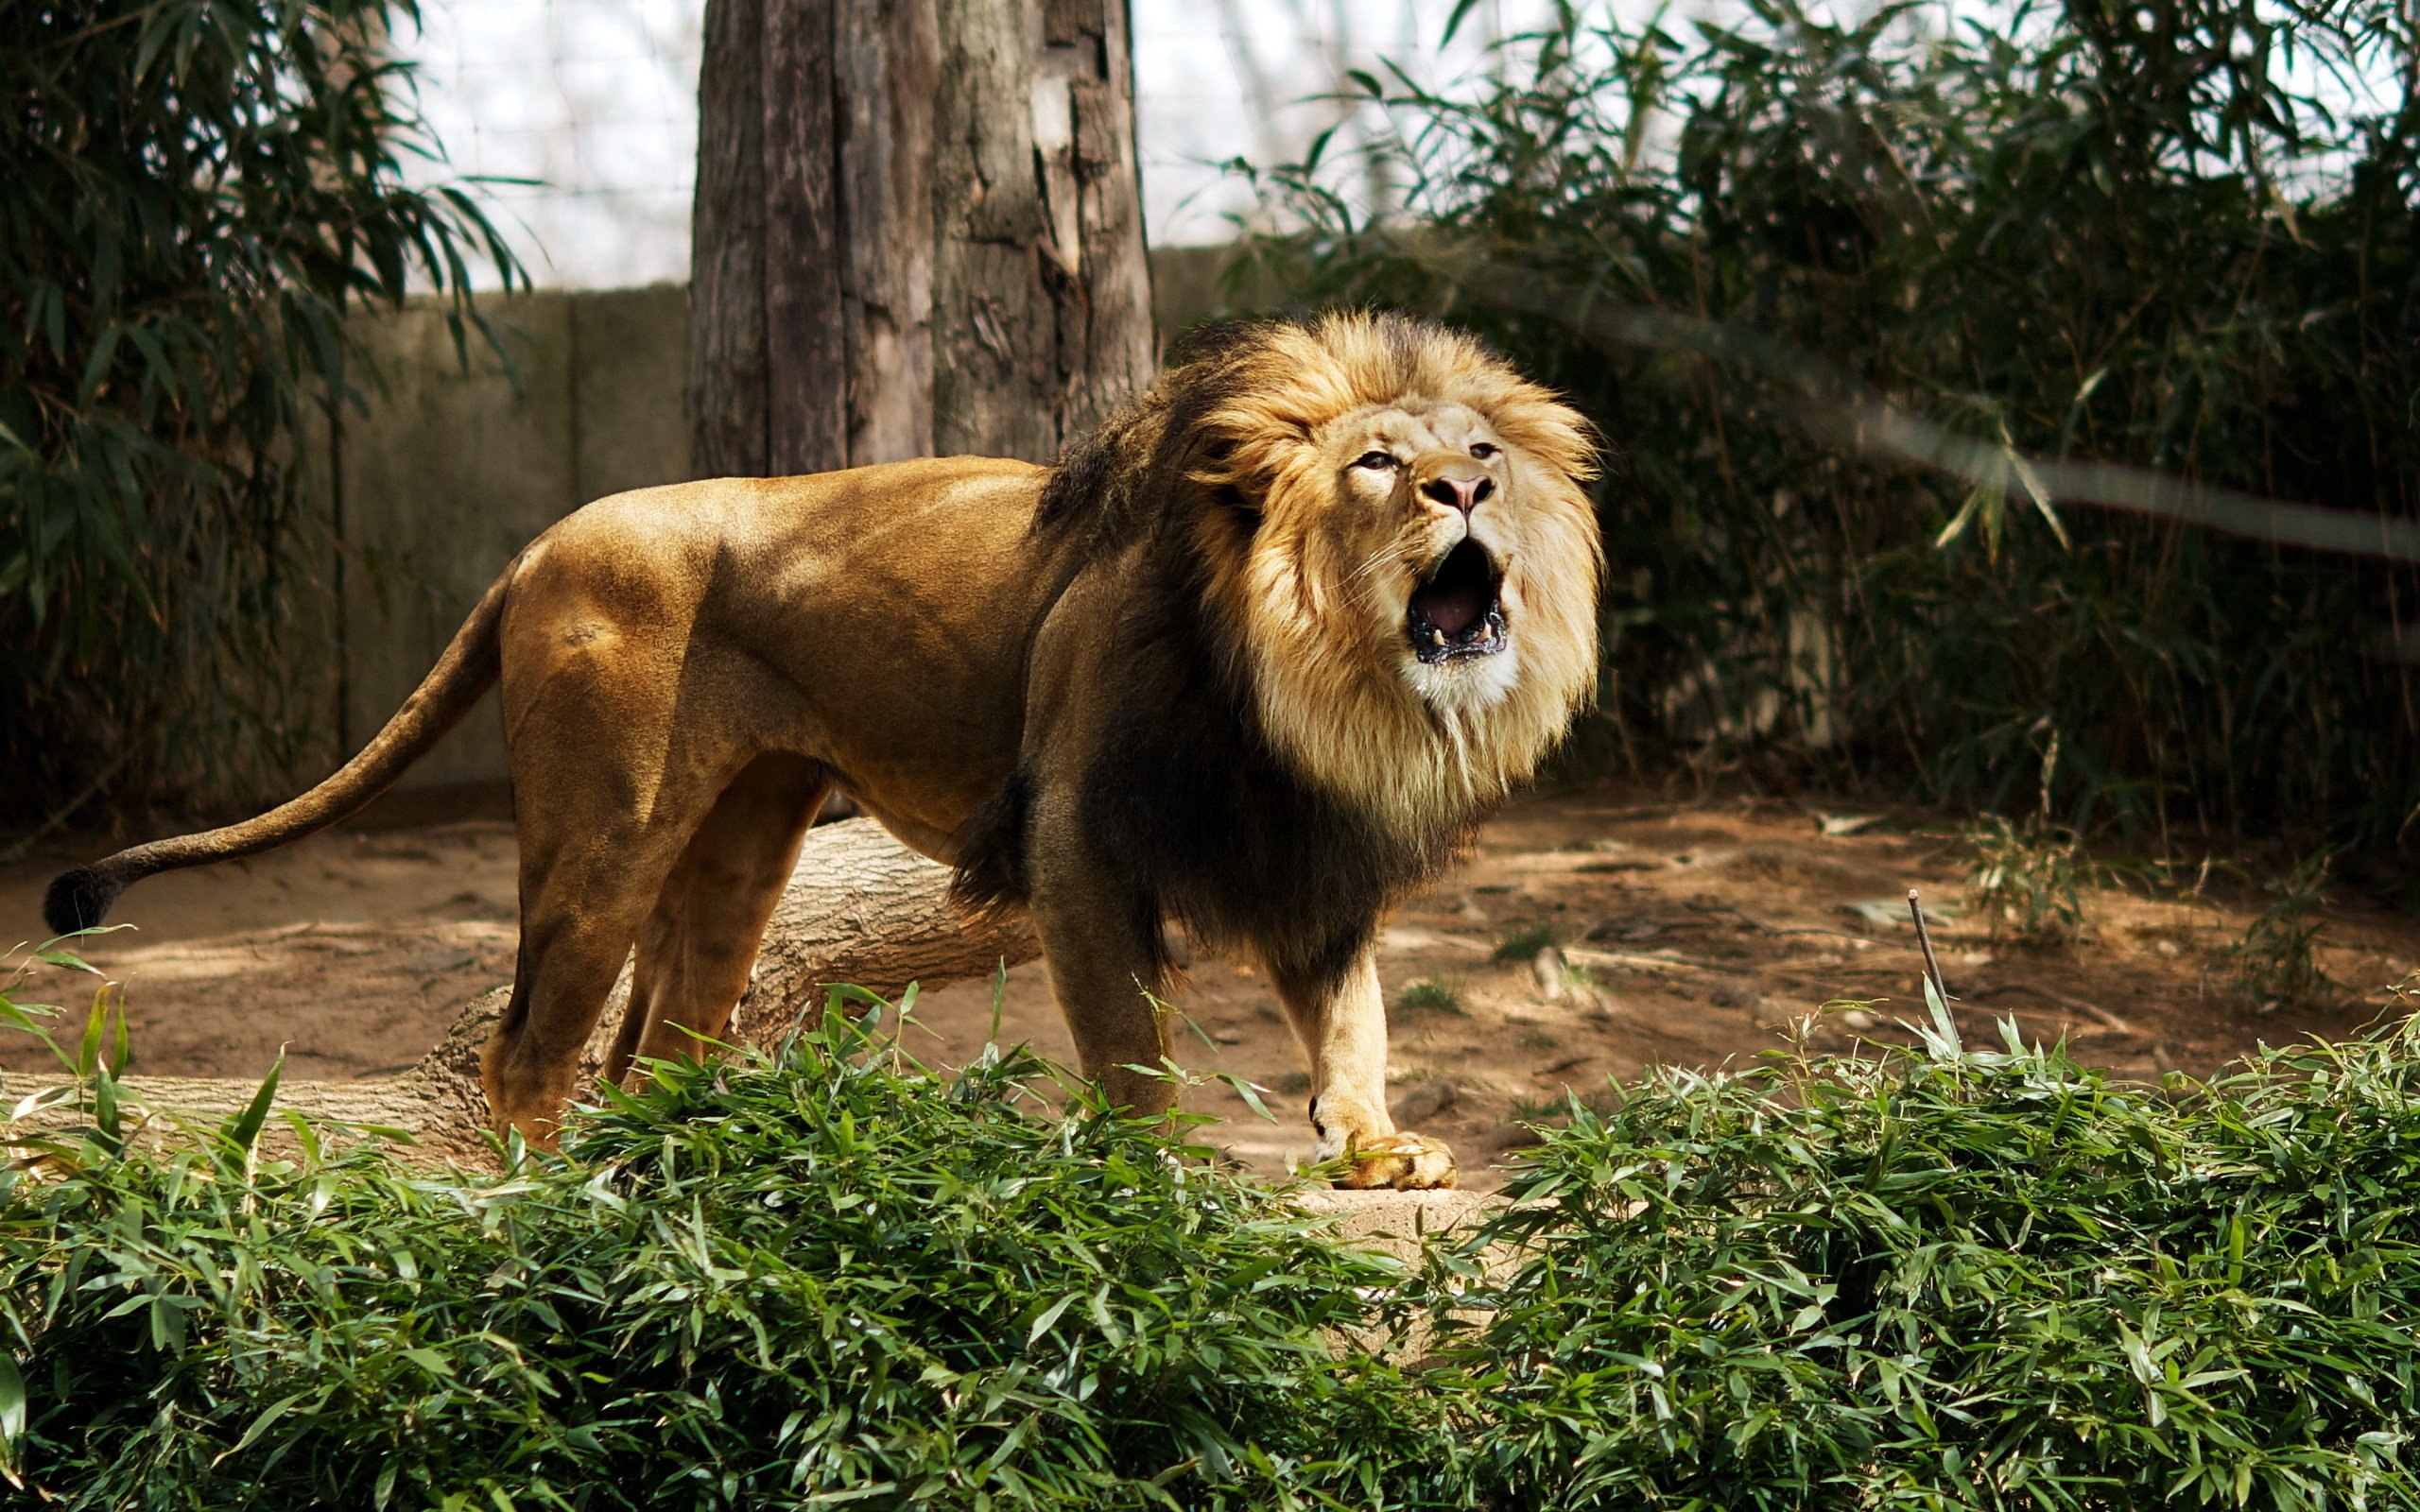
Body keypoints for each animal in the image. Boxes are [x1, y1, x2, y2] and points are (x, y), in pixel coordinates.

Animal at [46, 312, 1597, 1190]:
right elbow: (1130, 1044)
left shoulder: (1308, 852)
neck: (1312, 679)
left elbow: (1353, 1019)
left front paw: (1378, 1146)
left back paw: (690, 1180)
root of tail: (537, 544)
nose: (1466, 490)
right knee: (527, 1051)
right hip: (605, 834)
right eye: (1378, 465)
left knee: (653, 1050)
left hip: (743, 843)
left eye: (1482, 451)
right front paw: (1157, 1180)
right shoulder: (1079, 838)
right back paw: (549, 1205)